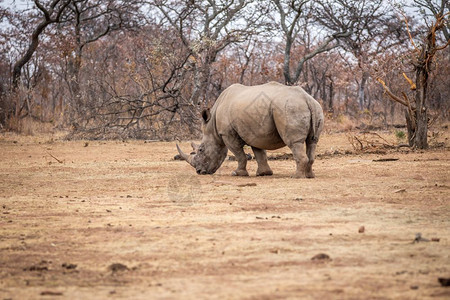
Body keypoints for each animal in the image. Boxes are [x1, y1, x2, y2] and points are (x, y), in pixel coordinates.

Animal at [176, 81, 324, 177]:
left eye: (201, 150)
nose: (199, 172)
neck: (212, 127)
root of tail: (306, 99)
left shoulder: (227, 134)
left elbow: (239, 154)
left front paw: (237, 173)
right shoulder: (255, 133)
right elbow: (259, 153)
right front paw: (264, 173)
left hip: (288, 108)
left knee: (294, 143)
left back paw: (296, 176)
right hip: (315, 108)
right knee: (312, 141)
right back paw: (310, 175)